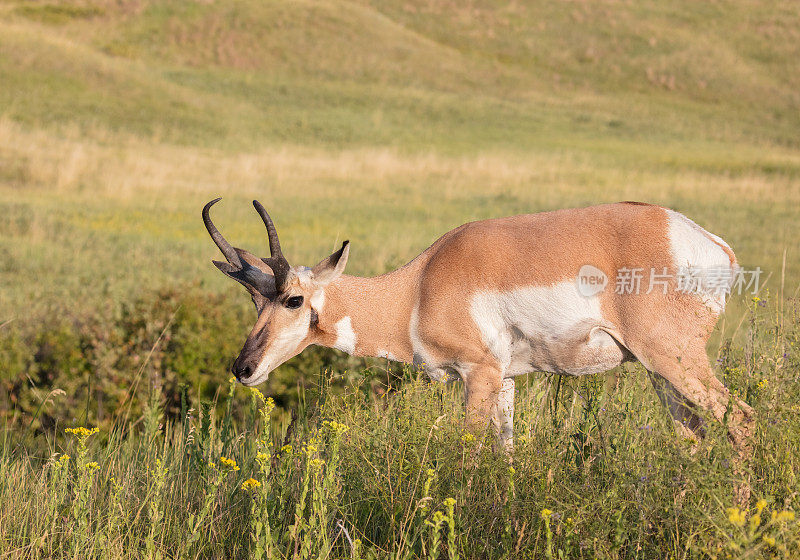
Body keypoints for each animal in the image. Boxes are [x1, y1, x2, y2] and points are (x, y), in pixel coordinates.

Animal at [203, 199, 752, 452]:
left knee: (740, 417)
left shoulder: (478, 375)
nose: (243, 368)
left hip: (674, 361)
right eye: (254, 299)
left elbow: (465, 451)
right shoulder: (504, 380)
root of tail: (711, 242)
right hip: (660, 373)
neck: (419, 285)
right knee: (692, 437)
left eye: (293, 299)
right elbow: (505, 452)